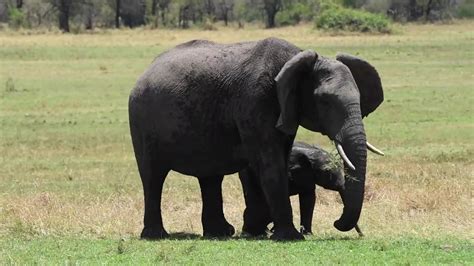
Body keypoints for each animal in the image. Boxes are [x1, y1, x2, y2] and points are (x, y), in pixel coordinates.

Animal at [128, 38, 384, 241]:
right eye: (325, 102)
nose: (337, 223)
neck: (295, 60)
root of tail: (146, 71)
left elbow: (280, 157)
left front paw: (261, 228)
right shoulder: (255, 101)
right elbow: (270, 163)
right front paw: (289, 237)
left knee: (210, 177)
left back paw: (221, 233)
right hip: (141, 120)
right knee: (153, 176)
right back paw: (156, 235)